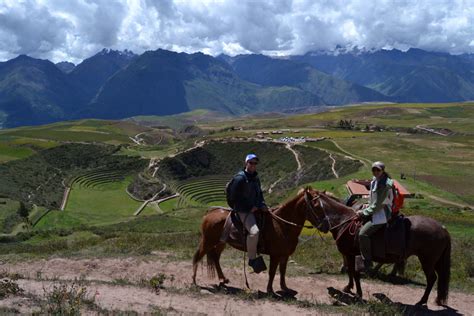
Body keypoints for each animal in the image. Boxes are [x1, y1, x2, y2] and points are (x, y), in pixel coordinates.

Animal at [193, 188, 322, 294]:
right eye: (317, 206)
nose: (324, 225)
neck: (281, 224)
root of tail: (209, 213)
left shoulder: (284, 255)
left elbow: (283, 271)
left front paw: (285, 288)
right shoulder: (275, 255)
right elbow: (272, 272)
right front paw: (270, 290)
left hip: (221, 242)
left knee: (215, 258)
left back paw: (223, 280)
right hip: (208, 241)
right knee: (198, 256)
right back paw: (194, 281)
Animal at [304, 189, 452, 308]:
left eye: (309, 208)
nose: (323, 227)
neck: (344, 220)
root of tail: (443, 229)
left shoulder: (352, 254)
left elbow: (354, 272)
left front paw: (357, 293)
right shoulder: (351, 254)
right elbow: (351, 271)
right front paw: (349, 287)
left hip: (427, 261)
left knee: (431, 279)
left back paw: (421, 301)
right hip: (436, 261)